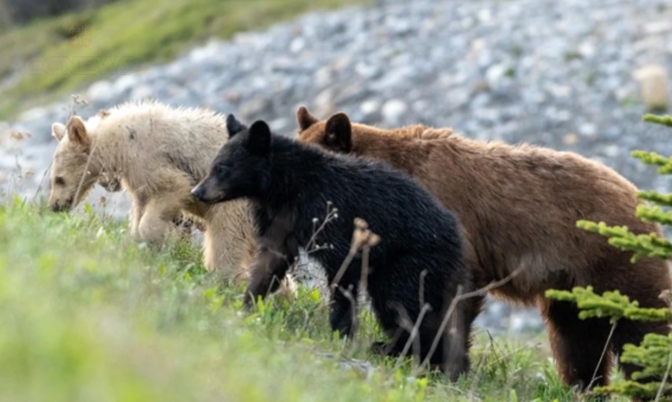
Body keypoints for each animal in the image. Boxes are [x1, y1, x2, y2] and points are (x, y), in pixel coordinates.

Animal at [192, 116, 480, 380]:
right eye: (213, 164)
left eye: (222, 168)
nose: (198, 191)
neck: (288, 186)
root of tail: (457, 238)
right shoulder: (280, 220)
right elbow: (270, 262)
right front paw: (248, 303)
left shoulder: (333, 217)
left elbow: (343, 274)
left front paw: (340, 333)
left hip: (410, 262)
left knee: (405, 306)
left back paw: (420, 356)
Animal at [296, 106, 672, 392]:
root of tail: (640, 199)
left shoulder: (443, 224)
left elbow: (440, 296)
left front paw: (440, 363)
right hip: (572, 291)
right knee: (577, 342)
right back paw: (584, 387)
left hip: (613, 263)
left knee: (643, 326)